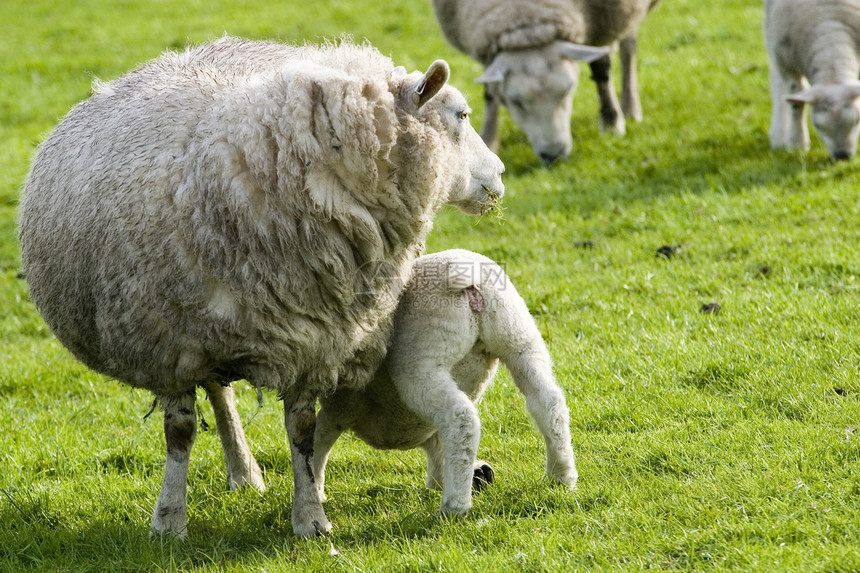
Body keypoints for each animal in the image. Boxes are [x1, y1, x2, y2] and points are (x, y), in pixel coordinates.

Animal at [18, 38, 504, 540]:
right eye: (462, 114)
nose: (501, 174)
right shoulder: (168, 347)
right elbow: (180, 432)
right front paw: (169, 520)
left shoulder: (315, 339)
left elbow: (303, 431)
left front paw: (311, 520)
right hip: (198, 333)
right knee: (216, 393)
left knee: (221, 392)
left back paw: (245, 472)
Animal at [310, 248, 576, 516]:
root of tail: (471, 277)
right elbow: (437, 445)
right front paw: (444, 478)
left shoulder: (341, 406)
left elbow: (319, 439)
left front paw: (317, 490)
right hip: (519, 337)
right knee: (547, 400)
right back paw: (560, 475)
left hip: (424, 360)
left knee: (460, 419)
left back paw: (454, 506)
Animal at [434, 0, 660, 164]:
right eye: (515, 102)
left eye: (568, 91)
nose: (554, 156)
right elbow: (491, 91)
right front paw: (489, 139)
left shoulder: (608, 20)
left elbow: (601, 66)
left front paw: (611, 122)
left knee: (628, 45)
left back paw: (630, 107)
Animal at [764, 0, 860, 160]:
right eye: (818, 126)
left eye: (856, 120)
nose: (842, 156)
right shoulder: (788, 67)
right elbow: (796, 102)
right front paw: (797, 142)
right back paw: (778, 136)